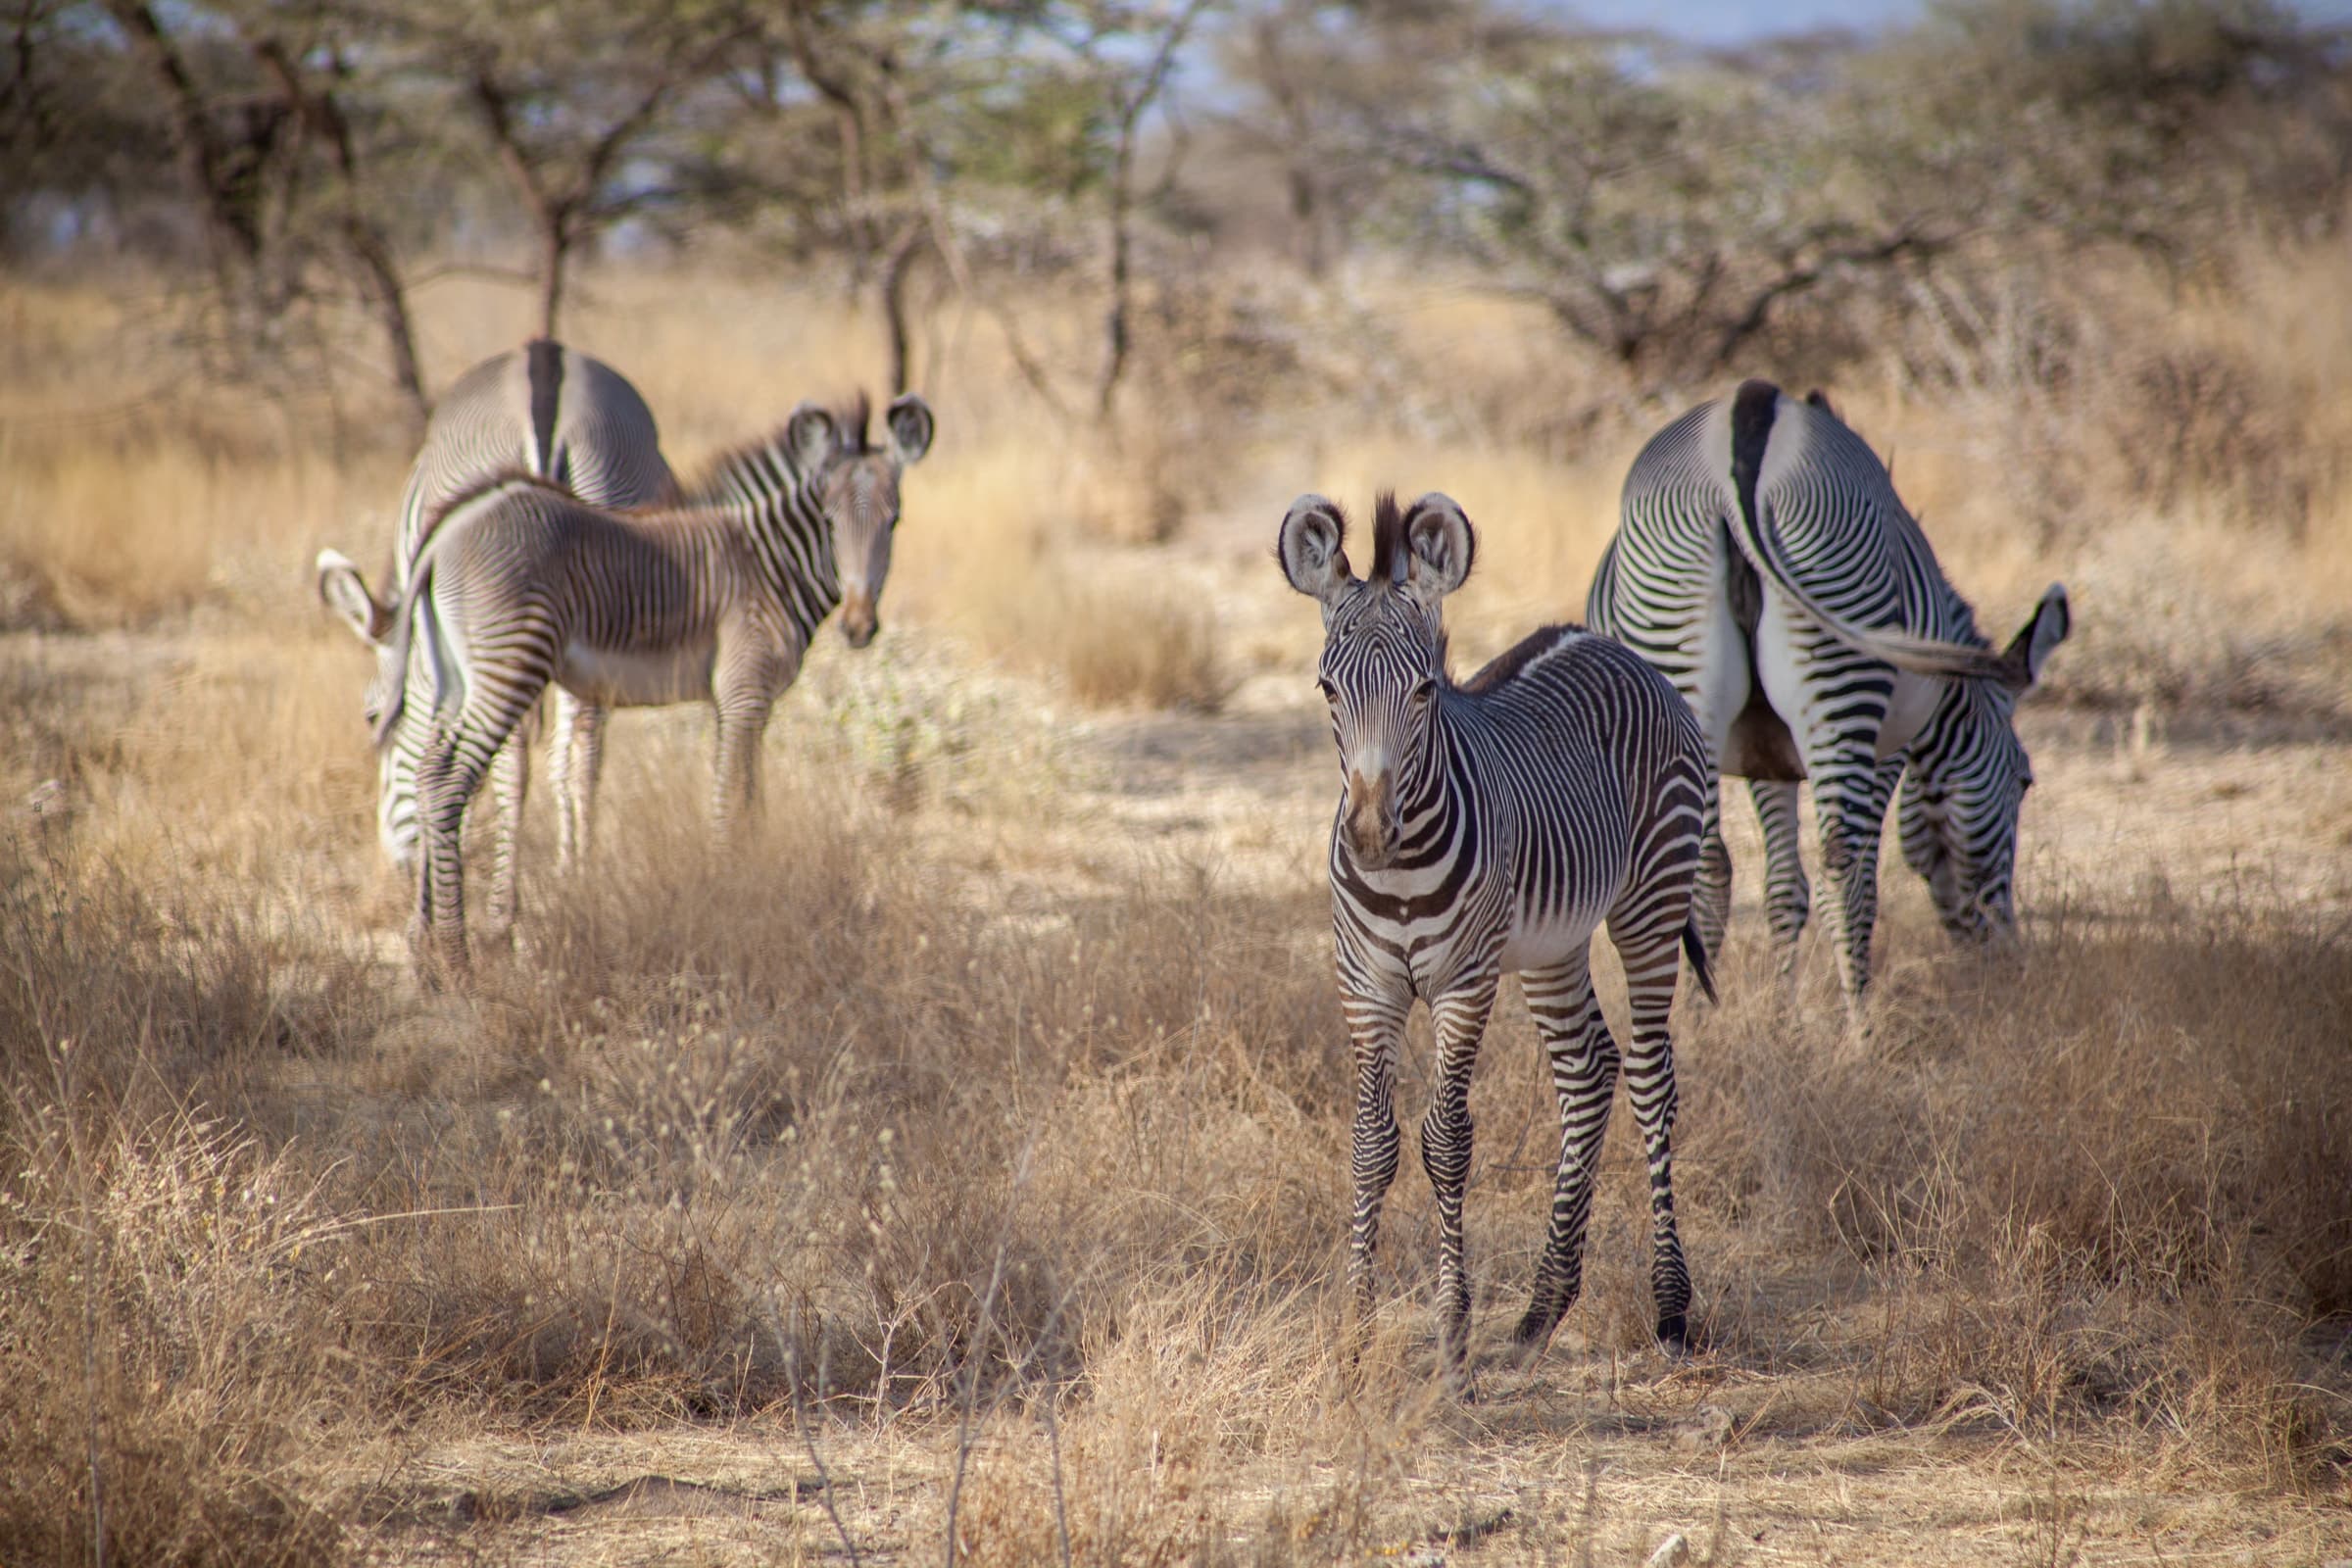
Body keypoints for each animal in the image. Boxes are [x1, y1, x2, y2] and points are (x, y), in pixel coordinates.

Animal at [316, 340, 678, 931]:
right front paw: (568, 868)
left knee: (511, 757)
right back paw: (582, 875)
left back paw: (501, 913)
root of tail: (545, 370)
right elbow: (563, 755)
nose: (393, 866)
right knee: (586, 740)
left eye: (371, 716)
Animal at [377, 391, 933, 976]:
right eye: (828, 520)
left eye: (895, 521)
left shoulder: (745, 705)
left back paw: (423, 950)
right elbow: (726, 806)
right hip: (510, 663)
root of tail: (445, 530)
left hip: (454, 675)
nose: (859, 627)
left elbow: (750, 803)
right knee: (450, 781)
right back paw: (457, 960)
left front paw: (754, 888)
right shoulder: (742, 694)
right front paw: (732, 904)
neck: (768, 563)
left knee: (428, 771)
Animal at [1279, 490, 1715, 1388]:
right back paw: (1541, 1313)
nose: (1369, 835)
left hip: (1651, 897)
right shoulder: (1365, 985)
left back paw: (1669, 1308)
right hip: (1551, 945)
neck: (1401, 869)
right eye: (1327, 689)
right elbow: (1371, 1144)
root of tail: (1606, 643)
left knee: (1652, 1078)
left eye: (1423, 692)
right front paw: (1355, 1338)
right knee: (1588, 1071)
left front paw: (1451, 1341)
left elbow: (1446, 1143)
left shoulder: (1463, 982)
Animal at [1586, 380, 2070, 1012]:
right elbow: (1858, 867)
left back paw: (1695, 1015)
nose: (2004, 957)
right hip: (1841, 662)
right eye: (2024, 780)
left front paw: (1782, 1013)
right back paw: (1860, 1024)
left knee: (1704, 865)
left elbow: (1783, 889)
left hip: (1680, 670)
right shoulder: (1891, 746)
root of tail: (1750, 417)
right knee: (1844, 865)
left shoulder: (1767, 755)